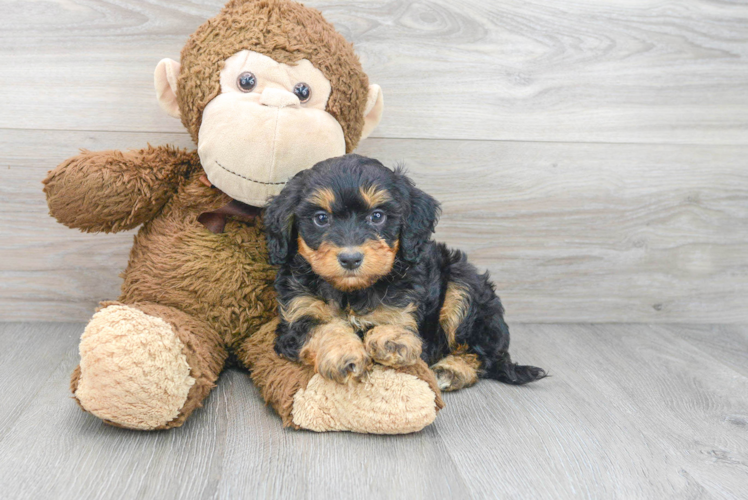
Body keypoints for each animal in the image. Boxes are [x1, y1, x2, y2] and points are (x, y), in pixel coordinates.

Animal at [262, 153, 544, 390]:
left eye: (377, 216)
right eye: (321, 218)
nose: (351, 258)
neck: (352, 291)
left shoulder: (405, 303)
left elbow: (394, 320)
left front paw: (392, 340)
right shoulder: (298, 313)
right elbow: (323, 329)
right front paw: (345, 354)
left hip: (464, 285)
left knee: (480, 354)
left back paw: (450, 371)